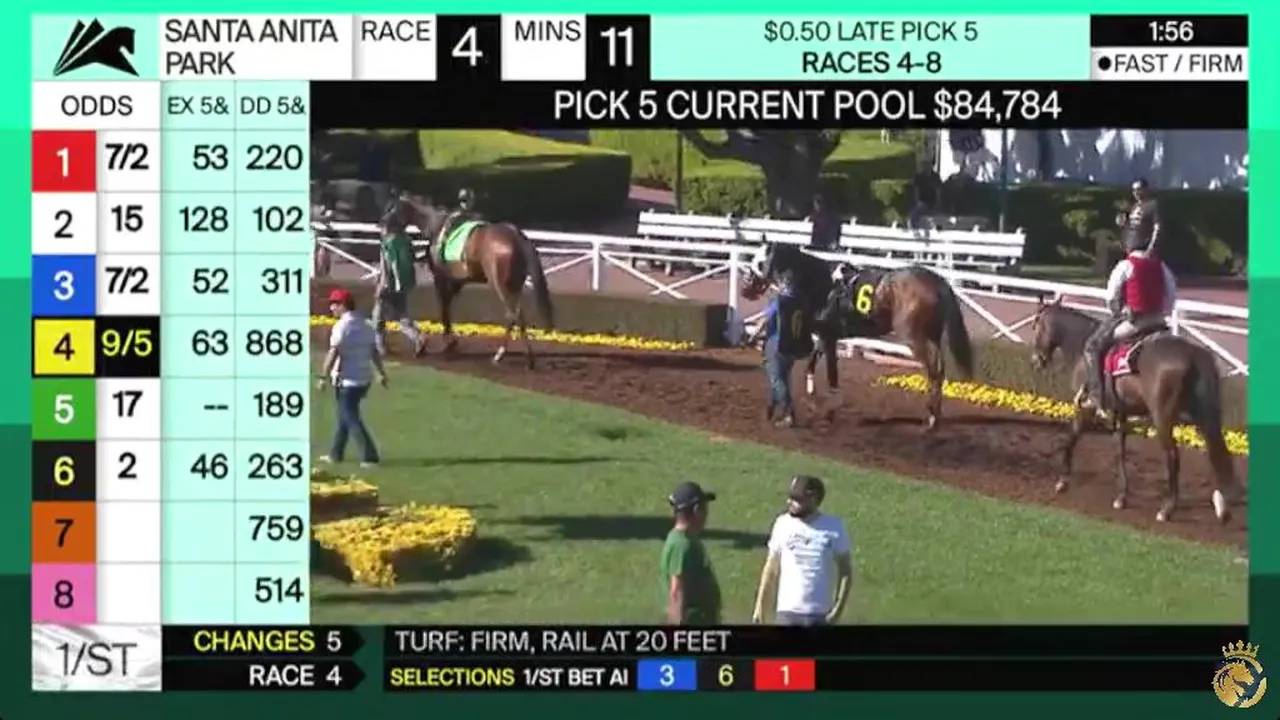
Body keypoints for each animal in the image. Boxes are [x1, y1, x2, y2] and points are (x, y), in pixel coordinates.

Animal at [386, 193, 555, 367]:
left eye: (391, 208)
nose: (384, 223)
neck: (436, 226)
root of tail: (516, 236)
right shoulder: (457, 280)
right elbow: (448, 305)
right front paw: (451, 341)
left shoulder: (440, 278)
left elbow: (444, 308)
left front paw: (448, 342)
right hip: (515, 285)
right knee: (516, 315)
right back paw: (518, 356)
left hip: (501, 285)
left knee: (513, 315)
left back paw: (503, 355)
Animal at [742, 243, 974, 430]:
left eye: (758, 262)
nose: (745, 289)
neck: (822, 283)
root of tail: (937, 281)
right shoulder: (826, 335)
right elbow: (811, 365)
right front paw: (811, 398)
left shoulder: (828, 337)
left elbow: (832, 375)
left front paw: (828, 412)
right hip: (931, 335)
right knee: (939, 370)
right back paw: (934, 416)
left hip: (915, 338)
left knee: (934, 370)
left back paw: (932, 418)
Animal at [1029, 297, 1240, 523]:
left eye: (1035, 326)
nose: (1036, 360)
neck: (1081, 342)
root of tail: (1194, 354)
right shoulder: (1118, 413)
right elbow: (1119, 452)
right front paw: (1121, 496)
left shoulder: (1086, 408)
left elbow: (1072, 437)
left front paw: (1062, 481)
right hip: (1203, 414)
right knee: (1216, 449)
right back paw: (1222, 505)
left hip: (1163, 417)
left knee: (1173, 455)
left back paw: (1167, 509)